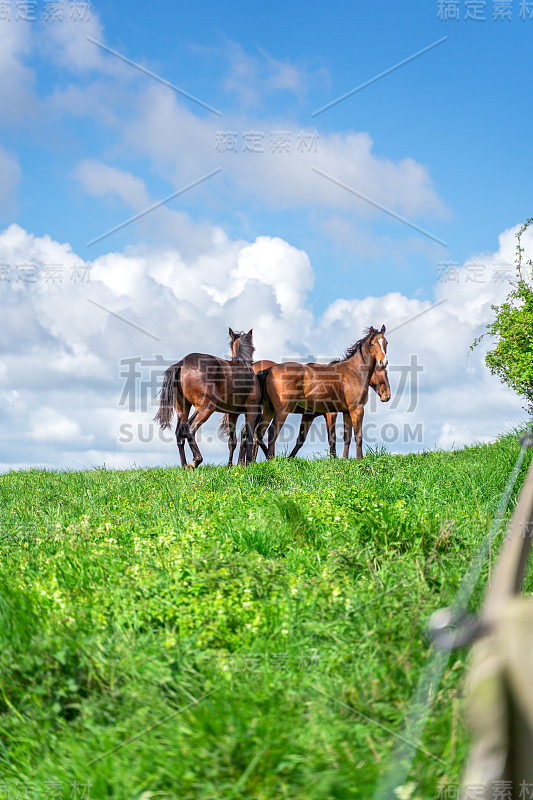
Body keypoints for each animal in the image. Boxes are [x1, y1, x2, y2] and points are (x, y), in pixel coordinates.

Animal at [154, 328, 260, 468]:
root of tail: (182, 363)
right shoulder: (252, 411)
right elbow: (249, 436)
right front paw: (248, 463)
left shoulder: (232, 414)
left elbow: (233, 440)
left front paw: (231, 465)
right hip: (206, 407)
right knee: (189, 427)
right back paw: (196, 460)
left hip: (182, 408)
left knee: (179, 433)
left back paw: (184, 466)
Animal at [256, 324, 386, 460]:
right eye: (373, 344)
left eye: (385, 343)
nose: (383, 362)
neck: (354, 371)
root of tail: (269, 370)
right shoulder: (356, 409)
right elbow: (357, 435)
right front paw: (359, 459)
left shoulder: (346, 411)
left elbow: (347, 436)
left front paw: (344, 460)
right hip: (282, 411)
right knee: (272, 432)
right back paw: (271, 459)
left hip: (269, 409)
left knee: (259, 432)